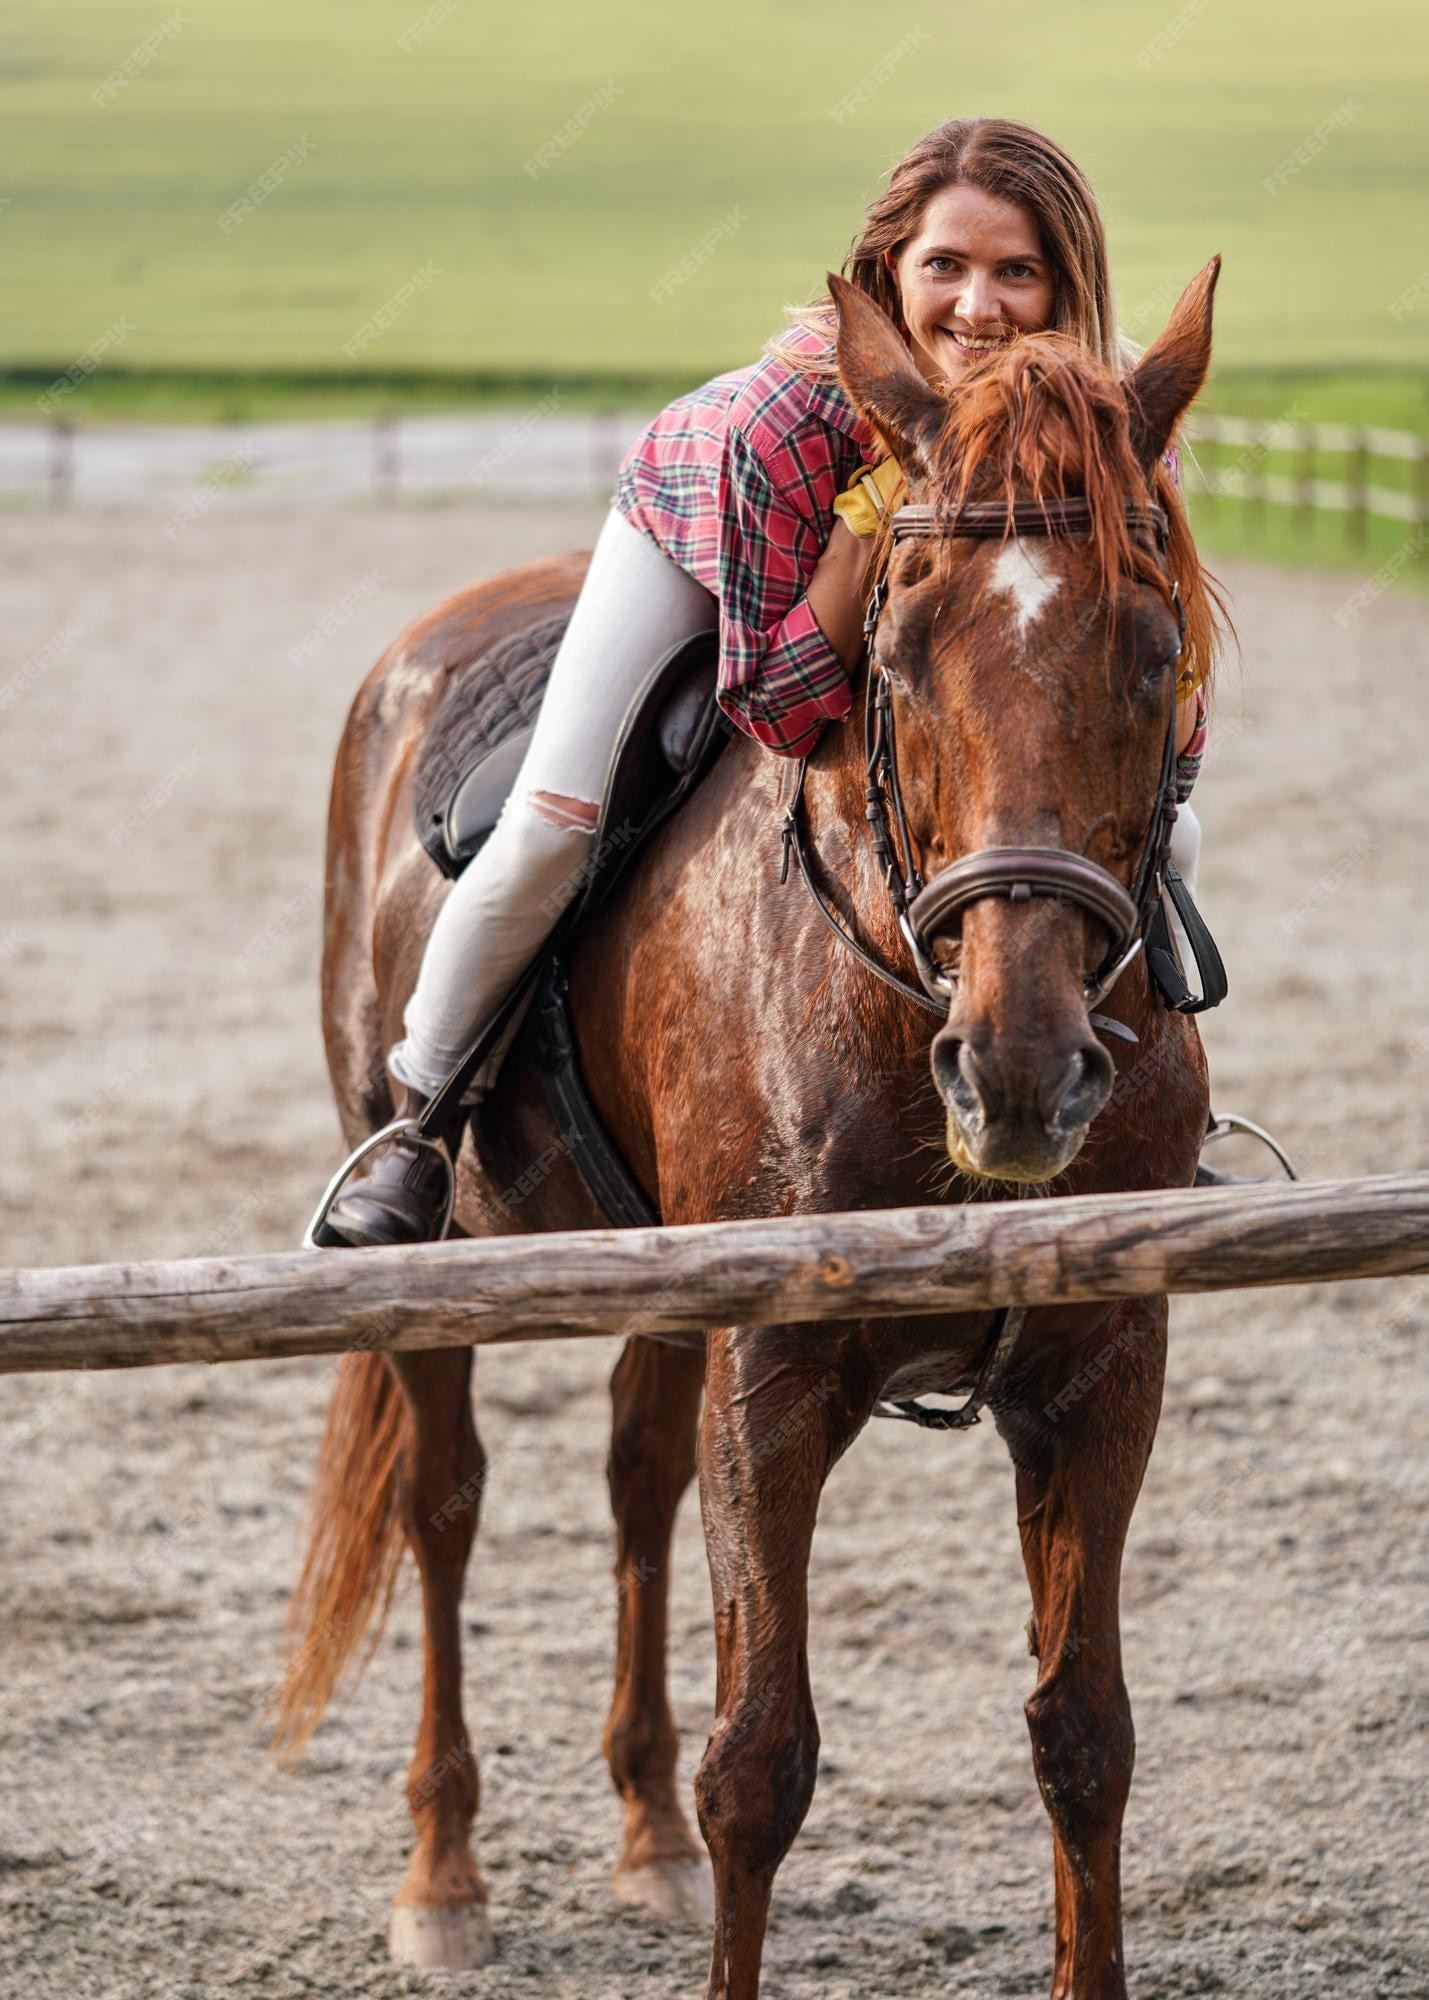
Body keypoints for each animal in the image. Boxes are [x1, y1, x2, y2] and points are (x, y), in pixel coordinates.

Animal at [276, 258, 1224, 1992]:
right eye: (900, 649)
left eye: (1150, 646)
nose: (1020, 1069)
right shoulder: (771, 1376)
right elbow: (762, 1762)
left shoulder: (1101, 1373)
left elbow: (1084, 1737)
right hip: (435, 1267)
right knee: (446, 1508)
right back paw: (442, 1874)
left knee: (637, 1479)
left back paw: (638, 1836)